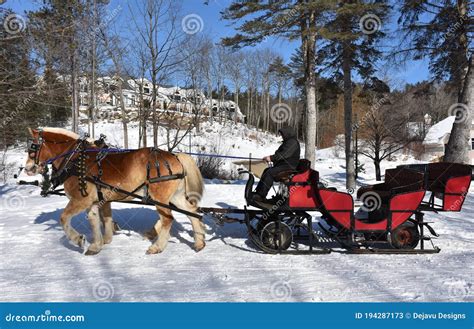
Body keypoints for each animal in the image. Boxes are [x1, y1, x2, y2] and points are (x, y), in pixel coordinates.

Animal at [23, 127, 206, 255]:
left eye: (32, 148)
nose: (28, 169)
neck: (75, 160)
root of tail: (175, 156)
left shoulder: (80, 200)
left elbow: (64, 218)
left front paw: (78, 239)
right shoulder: (95, 201)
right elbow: (96, 219)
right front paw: (97, 245)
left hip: (159, 197)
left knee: (168, 219)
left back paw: (157, 247)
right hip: (175, 196)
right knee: (192, 212)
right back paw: (199, 243)